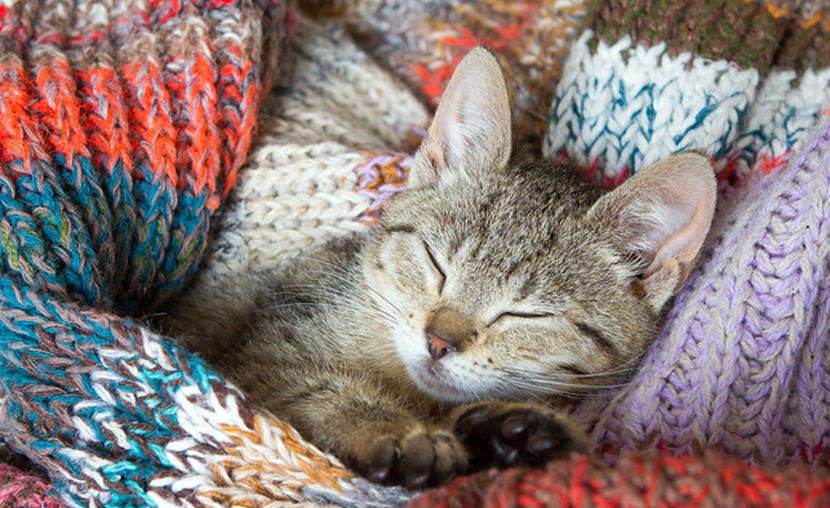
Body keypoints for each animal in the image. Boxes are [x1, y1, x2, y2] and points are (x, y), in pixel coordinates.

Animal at [167, 46, 716, 488]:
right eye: (437, 264)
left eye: (526, 314)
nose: (438, 341)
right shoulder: (261, 352)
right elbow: (317, 387)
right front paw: (397, 431)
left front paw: (520, 432)